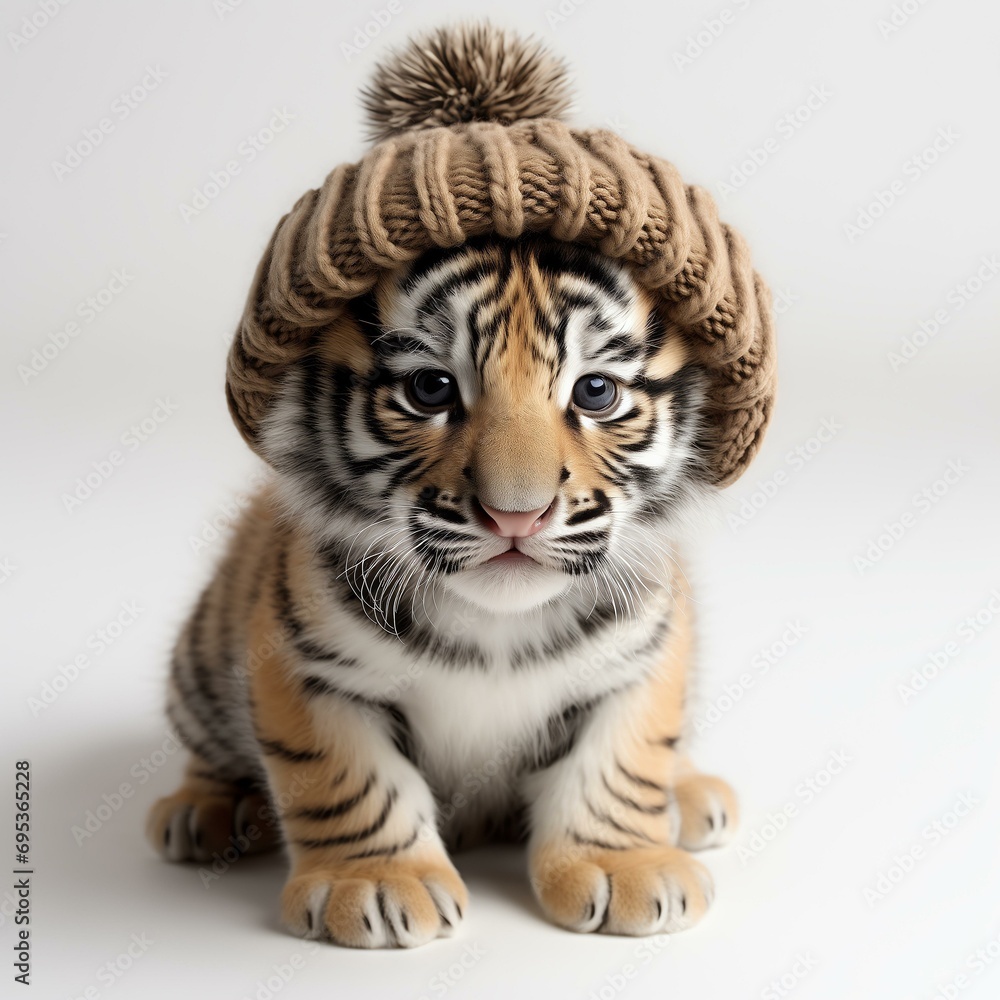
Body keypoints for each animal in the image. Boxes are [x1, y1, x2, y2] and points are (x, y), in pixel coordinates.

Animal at [147, 235, 740, 948]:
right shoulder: (306, 667)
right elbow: (350, 777)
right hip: (202, 663)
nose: (516, 515)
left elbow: (617, 765)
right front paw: (374, 884)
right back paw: (204, 813)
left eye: (595, 392)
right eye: (430, 388)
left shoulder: (640, 659)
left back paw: (694, 796)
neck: (498, 626)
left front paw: (622, 866)